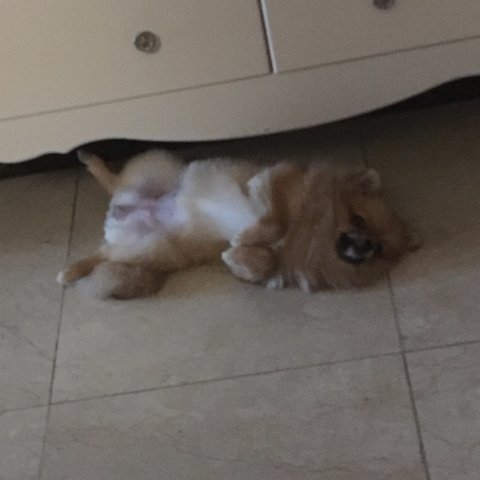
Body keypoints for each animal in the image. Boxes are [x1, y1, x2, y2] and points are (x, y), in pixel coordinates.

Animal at [57, 149, 420, 299]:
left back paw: (71, 270)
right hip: (158, 170)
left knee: (102, 254)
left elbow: (265, 260)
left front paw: (239, 253)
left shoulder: (273, 269)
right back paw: (91, 160)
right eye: (358, 219)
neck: (312, 230)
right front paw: (248, 235)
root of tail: (123, 211)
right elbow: (275, 221)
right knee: (114, 181)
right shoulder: (272, 182)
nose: (364, 244)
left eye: (379, 248)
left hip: (148, 247)